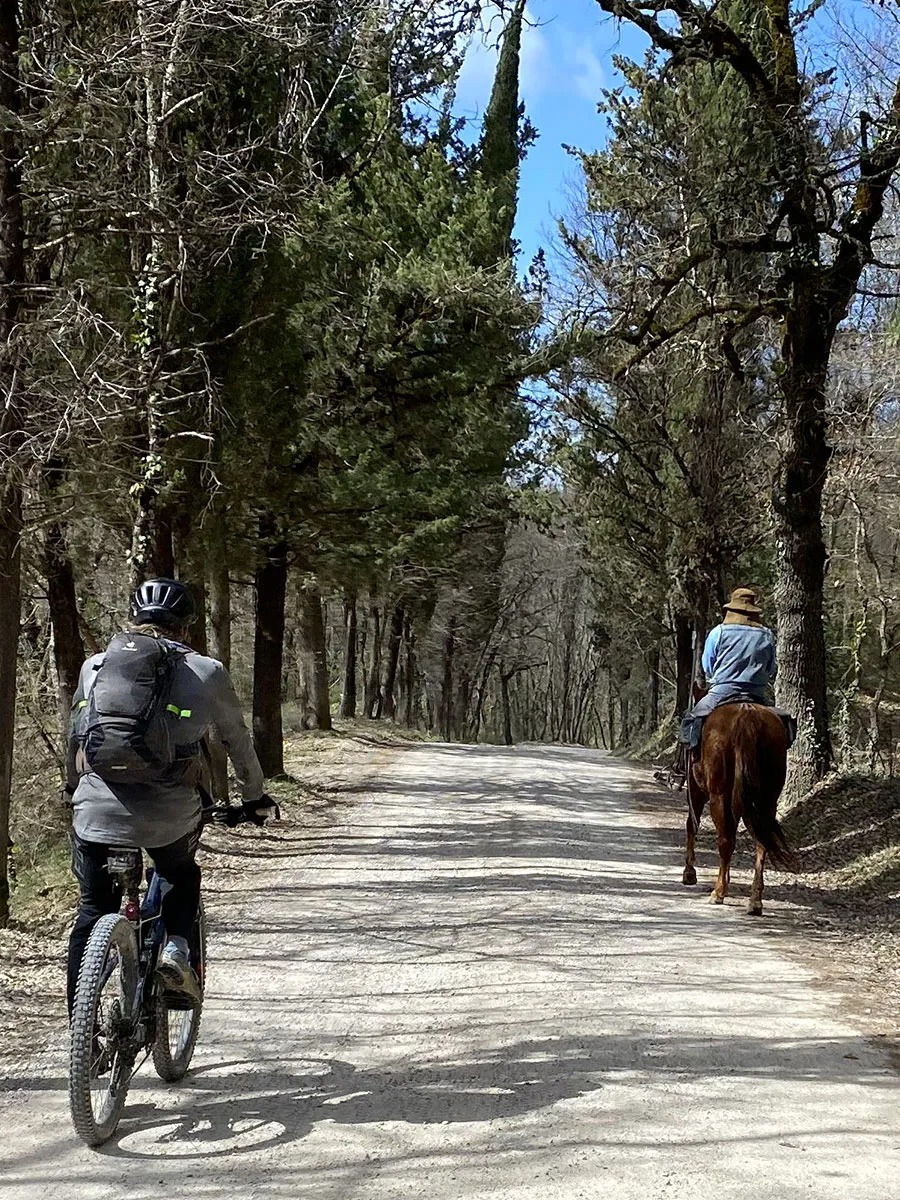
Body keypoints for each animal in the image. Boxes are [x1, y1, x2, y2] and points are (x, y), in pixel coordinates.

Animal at [681, 700, 801, 912]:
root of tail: (747, 714)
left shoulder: (695, 789)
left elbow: (692, 825)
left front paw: (689, 872)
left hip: (719, 795)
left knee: (725, 840)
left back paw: (718, 892)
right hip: (766, 799)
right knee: (761, 841)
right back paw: (755, 901)